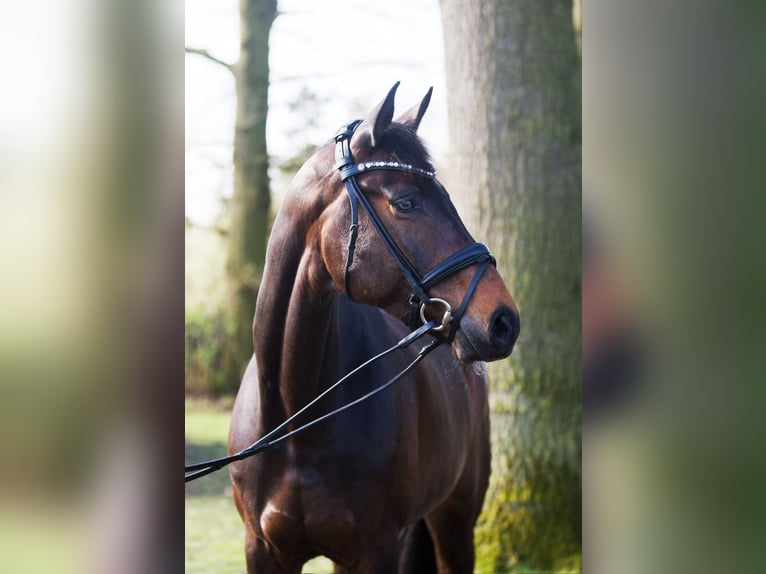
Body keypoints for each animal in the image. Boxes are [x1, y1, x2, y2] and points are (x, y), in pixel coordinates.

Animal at [228, 82, 520, 573]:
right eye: (406, 202)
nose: (504, 320)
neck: (296, 420)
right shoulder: (263, 550)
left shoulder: (373, 548)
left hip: (455, 522)